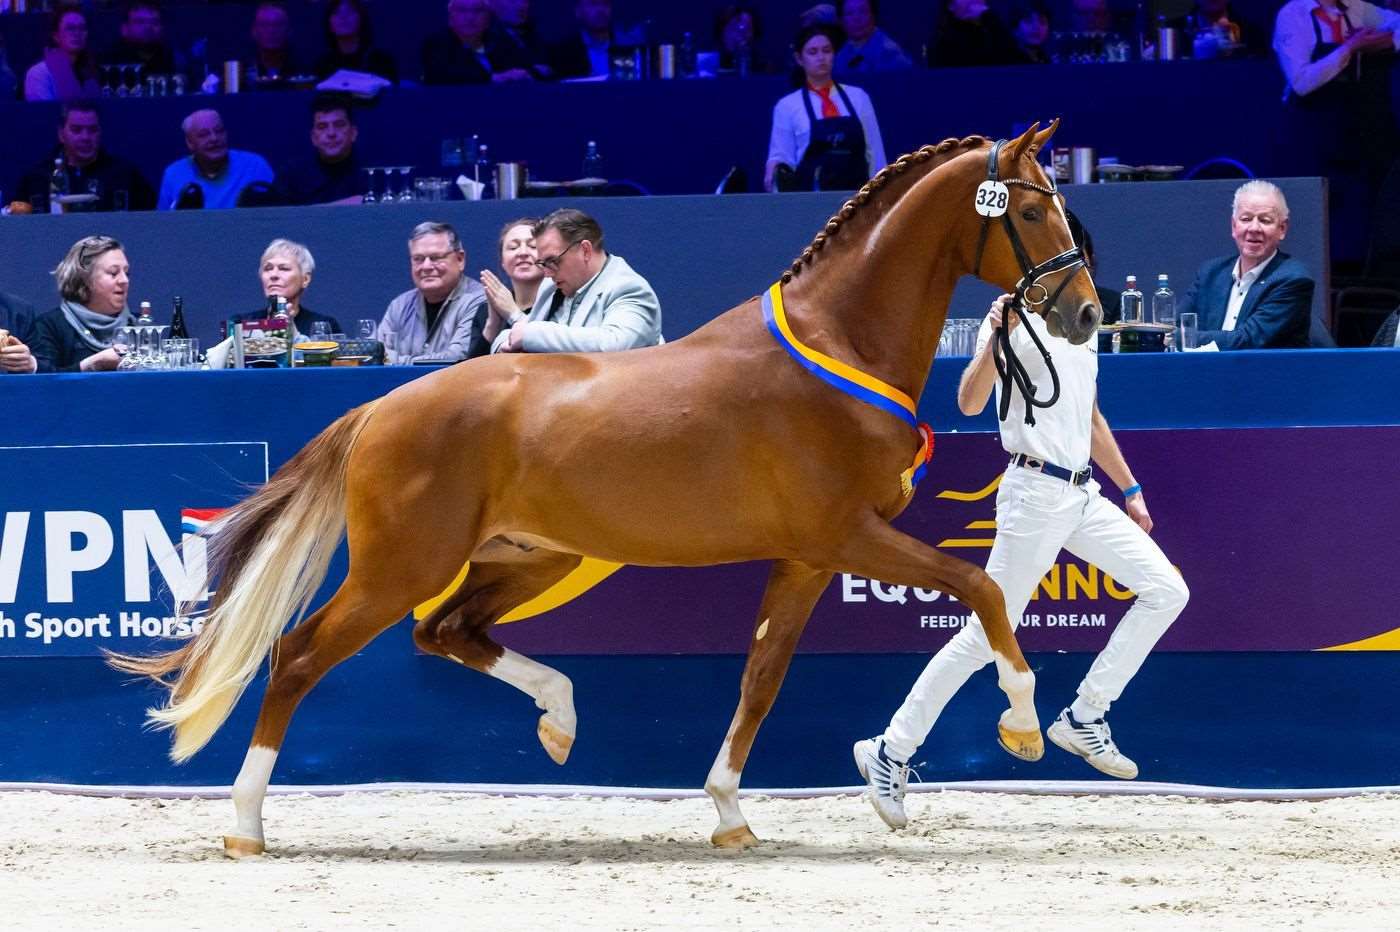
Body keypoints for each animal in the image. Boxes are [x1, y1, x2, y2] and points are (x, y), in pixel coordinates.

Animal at [111, 120, 1101, 857]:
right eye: (1033, 207)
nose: (1086, 312)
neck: (837, 347)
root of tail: (382, 405)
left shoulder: (807, 558)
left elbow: (762, 678)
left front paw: (732, 814)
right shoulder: (846, 536)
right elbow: (981, 591)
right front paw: (1022, 726)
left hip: (529, 559)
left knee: (446, 632)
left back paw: (558, 720)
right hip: (403, 567)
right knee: (299, 655)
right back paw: (245, 825)